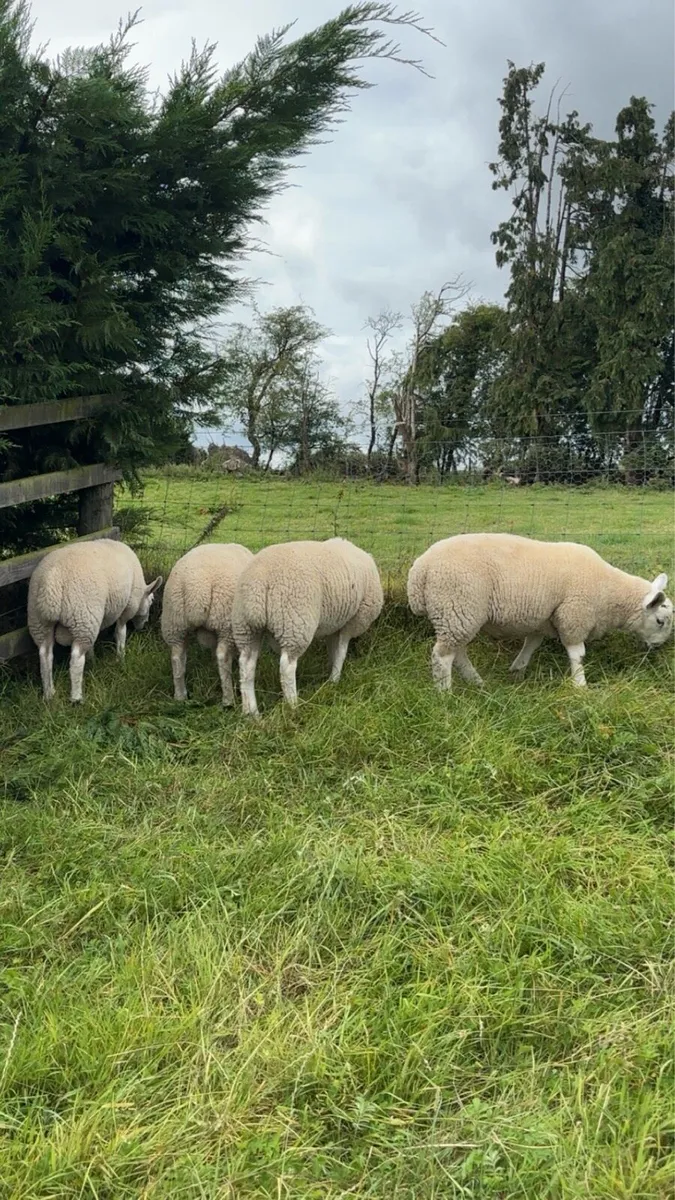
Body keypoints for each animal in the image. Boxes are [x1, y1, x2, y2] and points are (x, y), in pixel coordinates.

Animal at [27, 539, 162, 702]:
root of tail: (51, 582)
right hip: (82, 616)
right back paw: (76, 698)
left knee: (45, 655)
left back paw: (49, 694)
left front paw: (93, 660)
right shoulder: (126, 608)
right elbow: (120, 632)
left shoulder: (96, 618)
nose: (144, 625)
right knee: (76, 658)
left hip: (40, 621)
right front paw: (121, 657)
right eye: (151, 601)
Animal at [160, 543, 254, 704]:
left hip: (174, 623)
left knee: (177, 657)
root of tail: (196, 587)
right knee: (223, 656)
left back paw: (180, 695)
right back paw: (228, 699)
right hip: (226, 623)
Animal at [231, 537, 383, 716]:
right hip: (294, 623)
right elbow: (341, 651)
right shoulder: (352, 622)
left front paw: (330, 675)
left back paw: (251, 713)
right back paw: (293, 706)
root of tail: (259, 581)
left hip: (245, 627)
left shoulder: (335, 624)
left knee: (246, 665)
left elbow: (333, 648)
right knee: (286, 667)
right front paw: (335, 679)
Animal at [407, 532, 673, 689]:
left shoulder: (543, 619)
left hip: (457, 615)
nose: (657, 648)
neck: (609, 591)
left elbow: (531, 645)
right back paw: (445, 693)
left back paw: (476, 682)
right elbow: (578, 655)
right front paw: (581, 686)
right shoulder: (574, 616)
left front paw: (517, 670)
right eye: (660, 621)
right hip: (457, 606)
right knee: (442, 656)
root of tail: (420, 570)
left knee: (458, 651)